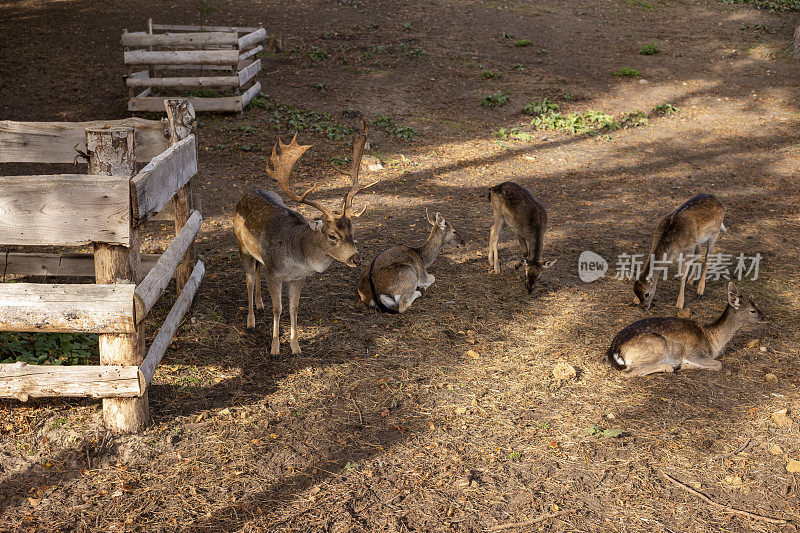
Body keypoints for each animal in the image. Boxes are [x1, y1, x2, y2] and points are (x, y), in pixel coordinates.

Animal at [234, 124, 376, 358]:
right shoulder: (275, 274)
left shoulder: (298, 278)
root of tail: (244, 195)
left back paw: (260, 304)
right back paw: (251, 322)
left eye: (353, 230)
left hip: (260, 256)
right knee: (249, 279)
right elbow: (278, 309)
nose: (357, 259)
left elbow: (294, 308)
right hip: (242, 246)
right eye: (333, 235)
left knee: (257, 269)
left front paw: (296, 347)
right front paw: (274, 349)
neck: (296, 257)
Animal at [608, 280, 768, 376]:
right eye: (753, 310)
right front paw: (682, 365)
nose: (766, 318)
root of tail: (614, 351)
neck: (713, 340)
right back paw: (669, 367)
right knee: (630, 371)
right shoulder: (695, 353)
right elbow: (718, 364)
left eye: (756, 305)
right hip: (658, 345)